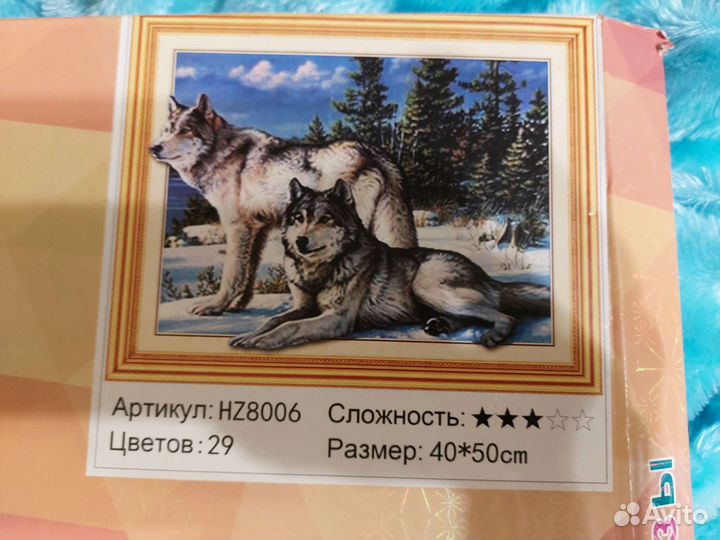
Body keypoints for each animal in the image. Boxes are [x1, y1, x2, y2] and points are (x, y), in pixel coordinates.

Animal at [150, 93, 417, 316]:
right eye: (167, 130)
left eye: (185, 131)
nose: (154, 147)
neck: (220, 153)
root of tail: (375, 153)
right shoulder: (258, 229)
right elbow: (249, 273)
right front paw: (238, 306)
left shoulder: (237, 227)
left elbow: (232, 274)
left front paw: (215, 307)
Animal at [229, 179, 551, 350]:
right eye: (299, 218)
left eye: (325, 219)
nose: (301, 241)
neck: (319, 271)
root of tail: (486, 276)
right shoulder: (303, 306)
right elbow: (273, 321)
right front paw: (246, 336)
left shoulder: (336, 318)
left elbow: (290, 327)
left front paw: (261, 342)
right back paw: (440, 325)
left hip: (426, 285)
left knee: (504, 315)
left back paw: (494, 335)